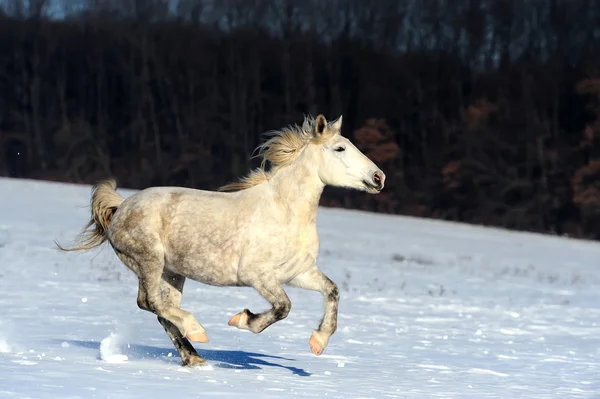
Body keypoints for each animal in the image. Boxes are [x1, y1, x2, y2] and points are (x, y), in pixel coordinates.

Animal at [56, 113, 384, 368]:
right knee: (149, 302)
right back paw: (198, 331)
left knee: (161, 310)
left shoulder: (298, 273)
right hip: (149, 261)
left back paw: (194, 357)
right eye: (340, 148)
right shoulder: (259, 277)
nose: (379, 178)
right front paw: (242, 319)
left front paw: (318, 342)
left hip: (172, 273)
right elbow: (283, 308)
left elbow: (332, 291)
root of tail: (122, 206)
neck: (284, 211)